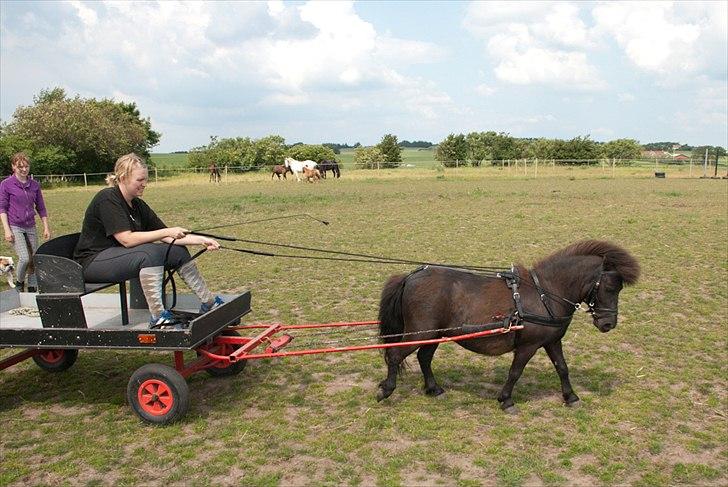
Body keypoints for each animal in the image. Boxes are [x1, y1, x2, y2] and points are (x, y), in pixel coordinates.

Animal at [378, 240, 640, 412]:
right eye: (610, 287)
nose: (608, 323)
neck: (546, 294)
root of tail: (411, 276)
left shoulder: (552, 341)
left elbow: (562, 368)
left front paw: (571, 397)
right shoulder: (528, 346)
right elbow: (515, 372)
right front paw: (506, 400)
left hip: (435, 334)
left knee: (424, 358)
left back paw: (433, 389)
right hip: (421, 332)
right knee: (395, 355)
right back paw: (386, 390)